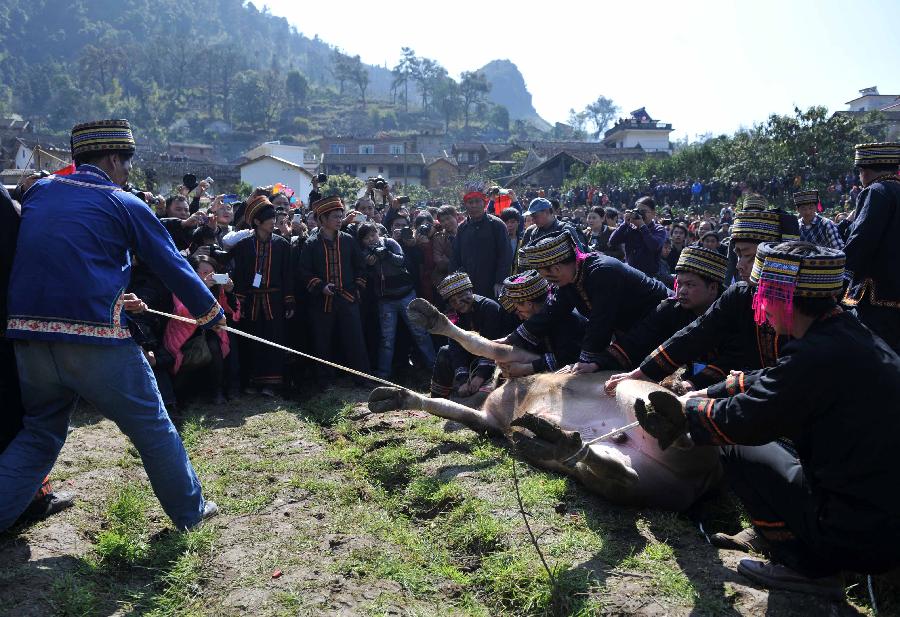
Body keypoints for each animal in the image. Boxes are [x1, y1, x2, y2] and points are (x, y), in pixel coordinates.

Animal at [370, 298, 720, 510]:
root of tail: (700, 482)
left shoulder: (518, 356)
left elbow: (481, 343)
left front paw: (429, 316)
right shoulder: (489, 421)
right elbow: (449, 406)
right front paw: (394, 397)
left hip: (629, 389)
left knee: (684, 427)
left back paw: (668, 420)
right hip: (627, 481)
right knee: (619, 472)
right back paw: (554, 441)